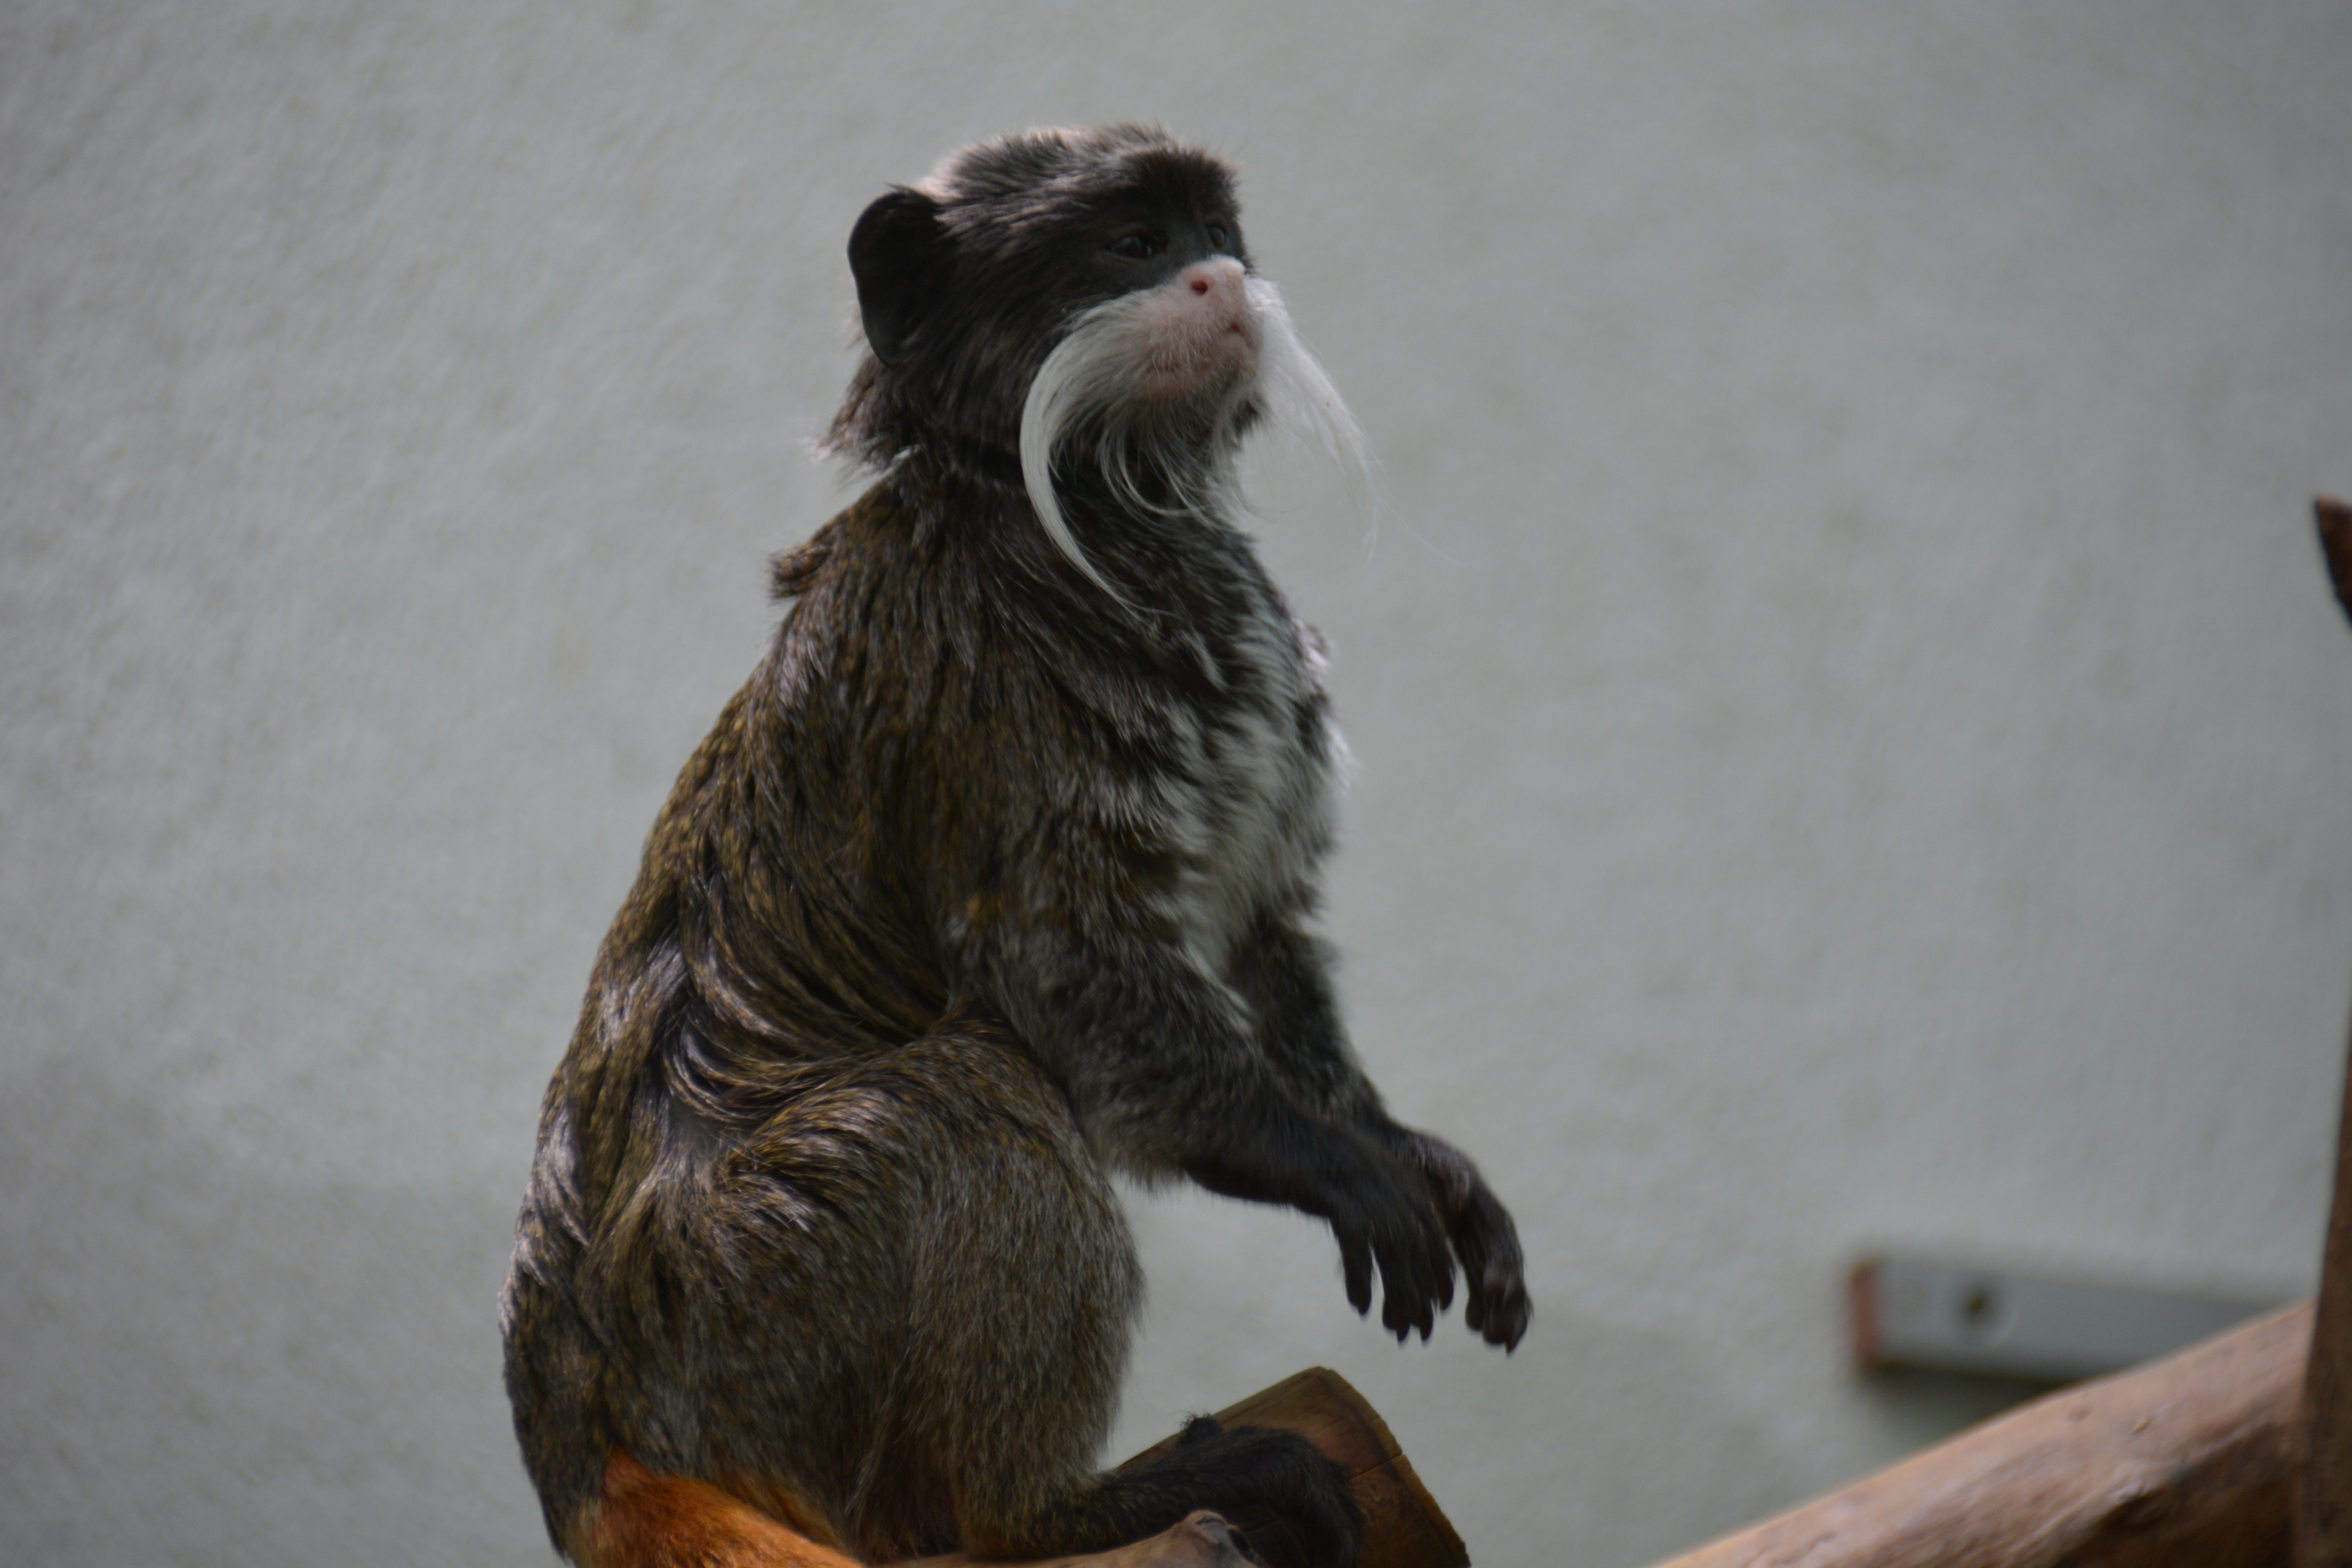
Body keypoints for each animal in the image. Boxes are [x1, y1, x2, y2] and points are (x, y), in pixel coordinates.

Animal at [501, 125, 1524, 1568]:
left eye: (1219, 234)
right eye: (1135, 245)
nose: (1220, 281)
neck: (1081, 506)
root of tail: (586, 1435)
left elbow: (1256, 930)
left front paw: (1403, 1149)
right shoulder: (984, 690)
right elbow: (1067, 982)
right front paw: (1336, 1167)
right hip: (755, 1295)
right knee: (968, 1092)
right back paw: (1056, 1507)